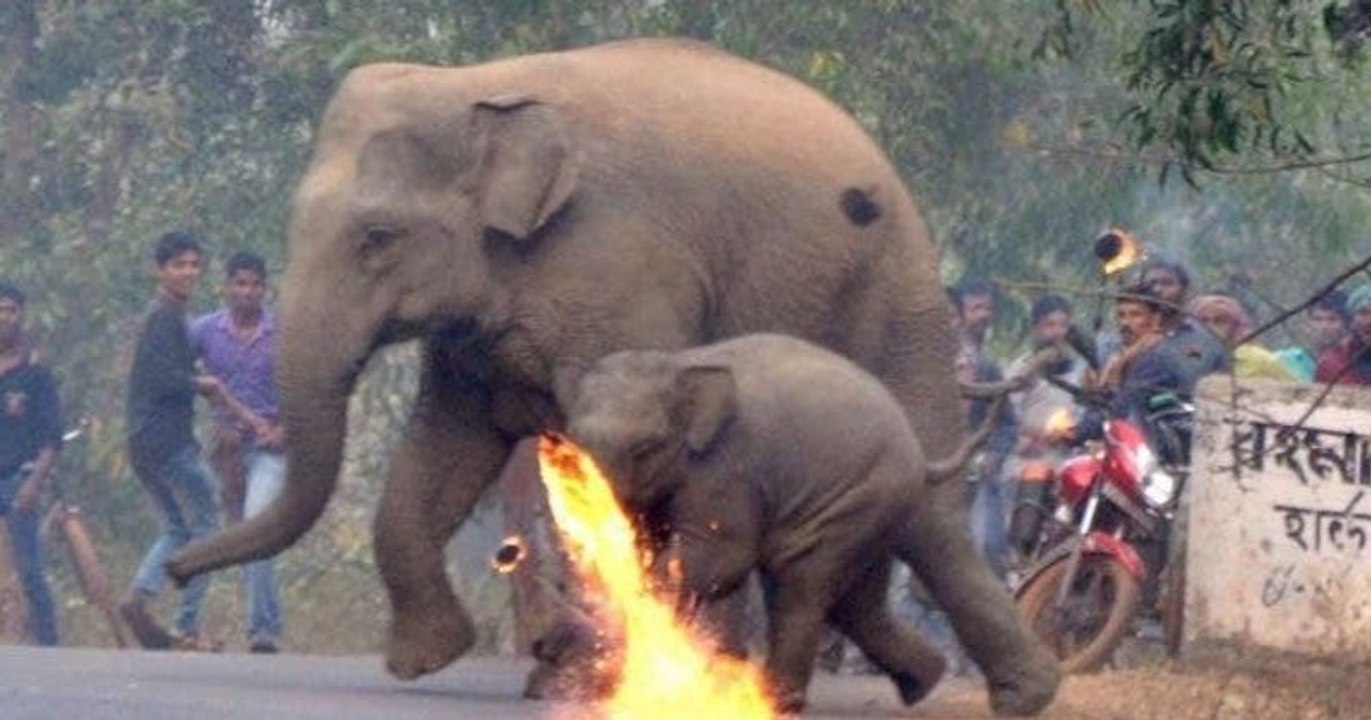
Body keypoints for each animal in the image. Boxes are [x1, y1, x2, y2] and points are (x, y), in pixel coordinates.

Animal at [554, 333, 1000, 712]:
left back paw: (779, 702)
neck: (678, 363)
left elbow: (721, 557)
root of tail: (914, 445)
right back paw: (923, 682)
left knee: (801, 583)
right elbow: (652, 545)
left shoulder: (728, 468)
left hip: (860, 498)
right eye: (572, 441)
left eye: (647, 447)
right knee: (858, 605)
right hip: (875, 511)